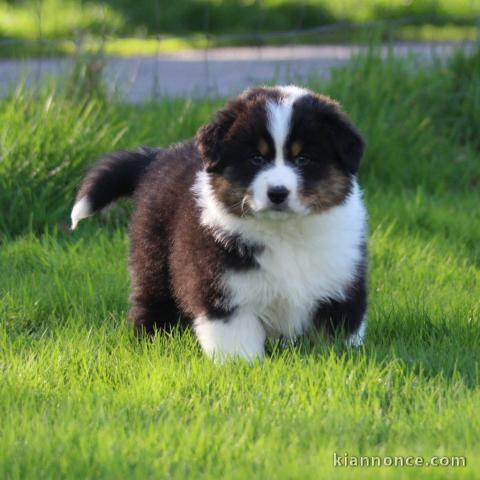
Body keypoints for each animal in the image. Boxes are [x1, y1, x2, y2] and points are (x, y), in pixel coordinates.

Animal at [70, 85, 368, 360]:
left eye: (303, 158)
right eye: (256, 158)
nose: (278, 193)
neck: (284, 232)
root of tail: (157, 158)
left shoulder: (343, 283)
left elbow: (338, 335)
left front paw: (341, 358)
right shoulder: (223, 287)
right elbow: (237, 340)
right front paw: (242, 367)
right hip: (153, 255)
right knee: (151, 300)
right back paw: (152, 342)